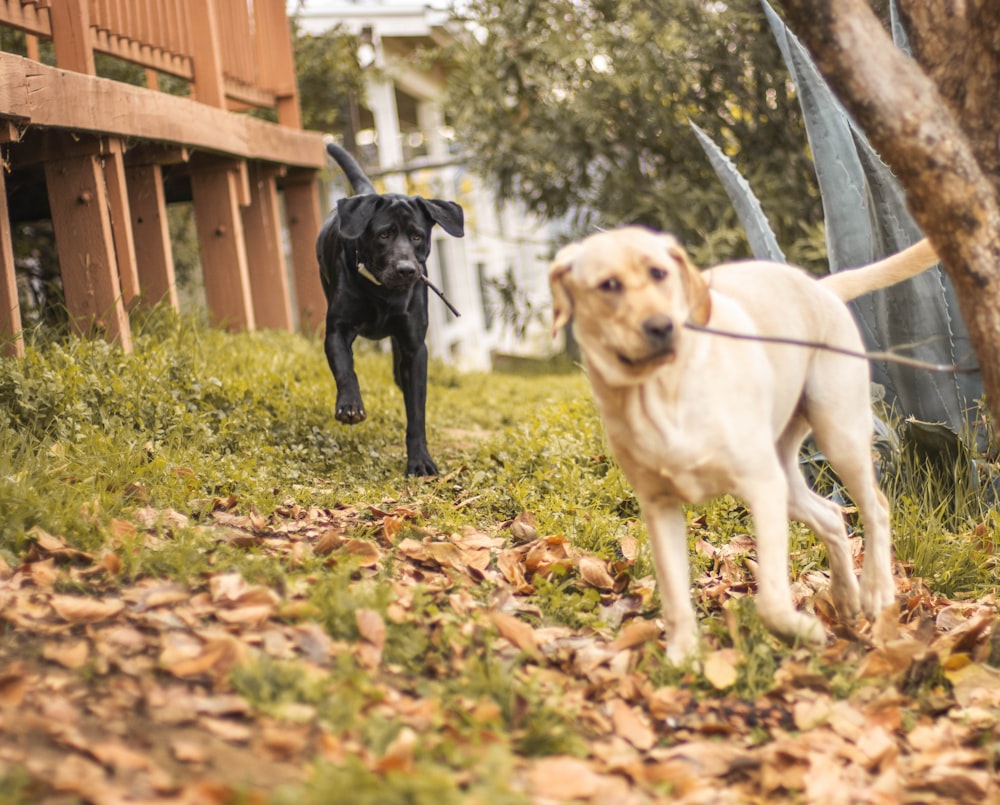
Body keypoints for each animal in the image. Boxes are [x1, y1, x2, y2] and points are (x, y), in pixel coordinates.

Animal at [316, 142, 464, 474]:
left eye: (417, 236)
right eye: (384, 235)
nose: (407, 269)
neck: (382, 292)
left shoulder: (415, 346)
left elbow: (416, 411)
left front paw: (420, 460)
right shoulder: (337, 330)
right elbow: (345, 368)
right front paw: (350, 404)